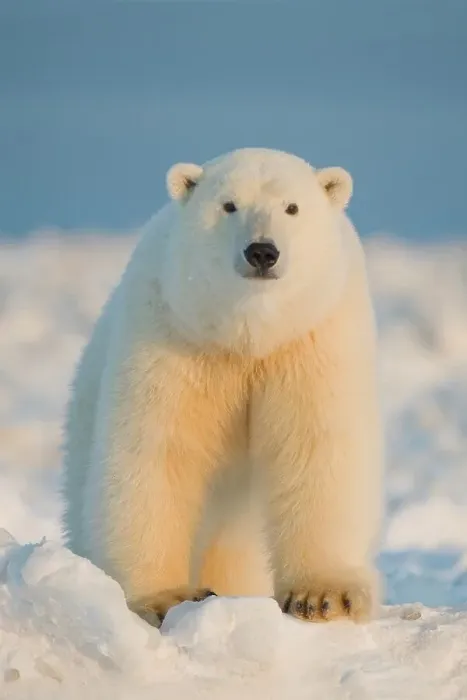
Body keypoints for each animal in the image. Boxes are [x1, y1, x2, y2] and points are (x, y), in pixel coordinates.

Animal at [61, 147, 383, 627]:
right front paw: (167, 597)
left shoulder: (312, 338)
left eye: (292, 207)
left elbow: (317, 444)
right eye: (229, 205)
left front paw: (325, 596)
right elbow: (157, 451)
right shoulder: (177, 335)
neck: (246, 336)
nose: (262, 252)